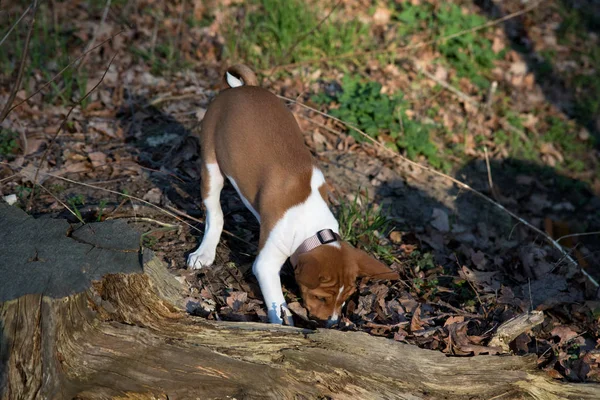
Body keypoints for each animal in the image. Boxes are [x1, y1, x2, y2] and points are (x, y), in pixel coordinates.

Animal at [185, 63, 398, 324]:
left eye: (345, 298)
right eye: (321, 298)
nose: (332, 323)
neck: (316, 229)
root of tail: (242, 88)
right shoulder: (265, 264)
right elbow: (277, 304)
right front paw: (283, 323)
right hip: (211, 165)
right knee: (214, 213)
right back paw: (204, 252)